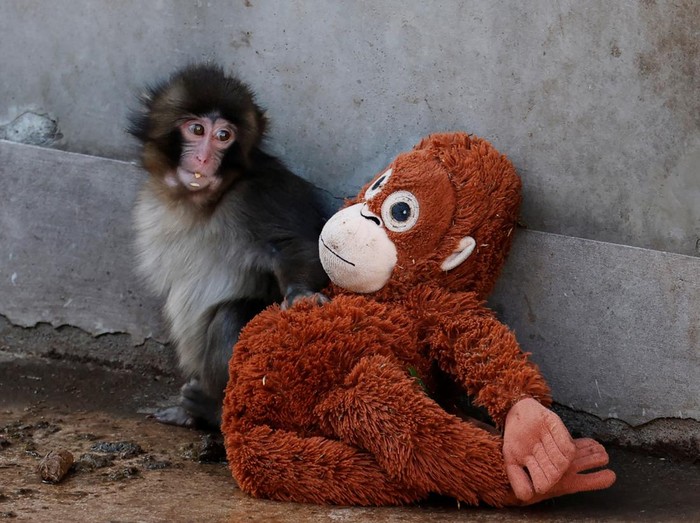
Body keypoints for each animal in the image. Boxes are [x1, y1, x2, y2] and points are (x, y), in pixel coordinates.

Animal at [128, 64, 331, 429]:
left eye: (224, 136)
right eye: (197, 129)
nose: (204, 157)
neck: (202, 201)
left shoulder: (260, 194)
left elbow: (296, 245)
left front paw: (301, 295)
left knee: (230, 317)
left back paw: (212, 411)